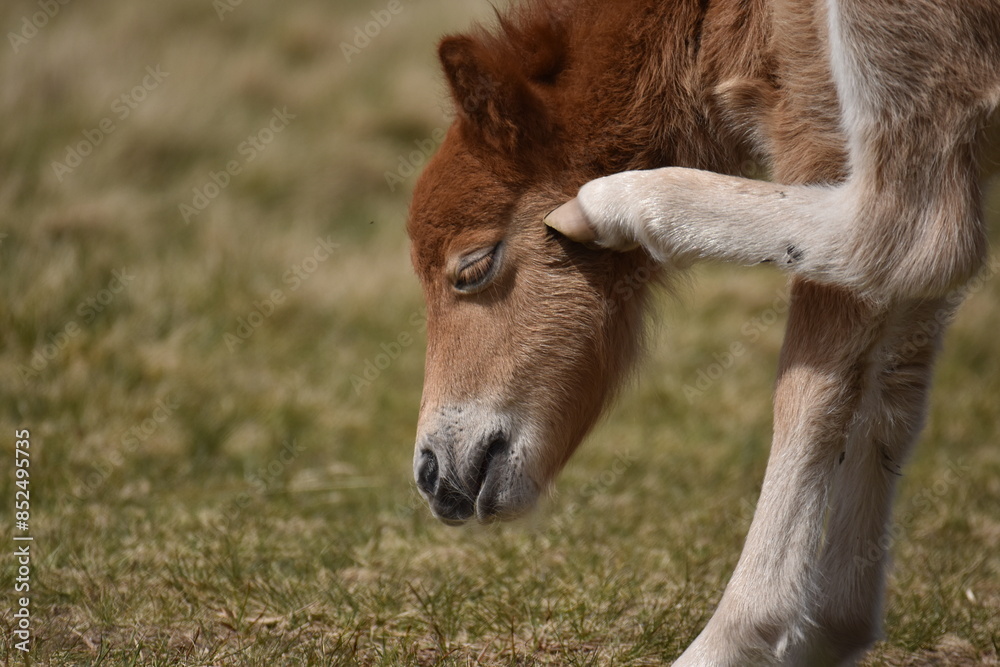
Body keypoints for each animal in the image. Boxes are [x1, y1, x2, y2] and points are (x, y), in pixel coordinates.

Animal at [406, 0, 1000, 663]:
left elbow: (811, 387)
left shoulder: (817, 116)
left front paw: (741, 636)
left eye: (473, 266)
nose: (431, 473)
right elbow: (893, 393)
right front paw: (833, 628)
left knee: (915, 233)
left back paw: (612, 203)